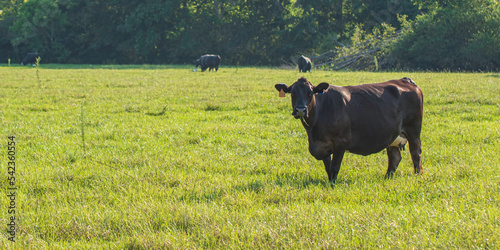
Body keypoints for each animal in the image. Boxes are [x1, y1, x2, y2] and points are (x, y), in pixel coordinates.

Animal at [276, 77, 424, 185]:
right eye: (292, 93)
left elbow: (335, 167)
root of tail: (405, 80)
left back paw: (417, 175)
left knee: (415, 154)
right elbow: (328, 168)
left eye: (310, 93)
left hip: (413, 131)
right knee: (394, 157)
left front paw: (333, 185)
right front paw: (330, 182)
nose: (300, 110)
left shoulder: (340, 142)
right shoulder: (322, 145)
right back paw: (387, 178)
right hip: (393, 136)